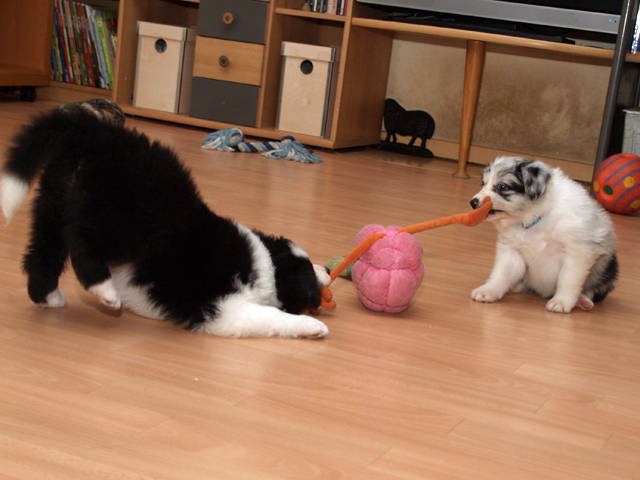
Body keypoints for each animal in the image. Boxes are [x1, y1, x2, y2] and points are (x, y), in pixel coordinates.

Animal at [1, 105, 331, 338]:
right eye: (308, 267)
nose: (327, 269)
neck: (268, 264)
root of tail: (94, 133)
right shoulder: (223, 309)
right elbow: (270, 317)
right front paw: (312, 326)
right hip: (117, 216)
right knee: (83, 246)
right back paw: (105, 290)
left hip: (53, 201)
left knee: (42, 253)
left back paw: (48, 296)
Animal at [469, 156, 618, 313]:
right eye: (483, 183)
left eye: (502, 187)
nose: (473, 202)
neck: (534, 216)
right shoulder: (512, 252)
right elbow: (501, 274)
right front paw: (488, 291)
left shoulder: (577, 253)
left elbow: (567, 279)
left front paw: (561, 302)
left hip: (606, 269)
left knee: (594, 289)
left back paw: (582, 300)